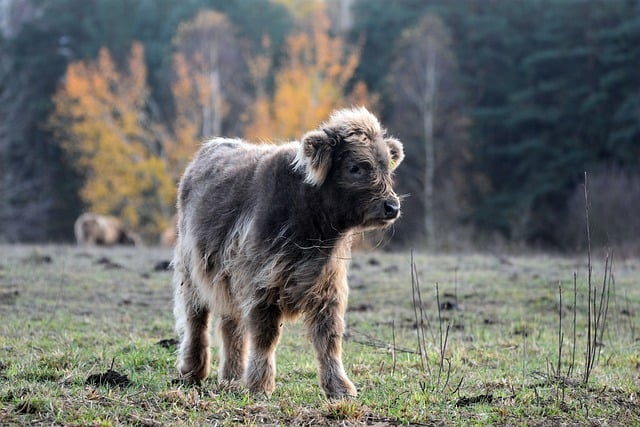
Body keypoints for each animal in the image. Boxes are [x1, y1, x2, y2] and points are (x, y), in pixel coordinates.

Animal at [172, 107, 404, 399]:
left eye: (386, 167)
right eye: (355, 167)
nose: (392, 207)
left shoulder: (328, 286)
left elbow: (329, 338)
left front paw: (340, 388)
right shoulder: (263, 282)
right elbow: (266, 335)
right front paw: (260, 385)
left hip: (227, 278)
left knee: (230, 325)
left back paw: (232, 378)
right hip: (191, 270)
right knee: (196, 319)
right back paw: (192, 371)